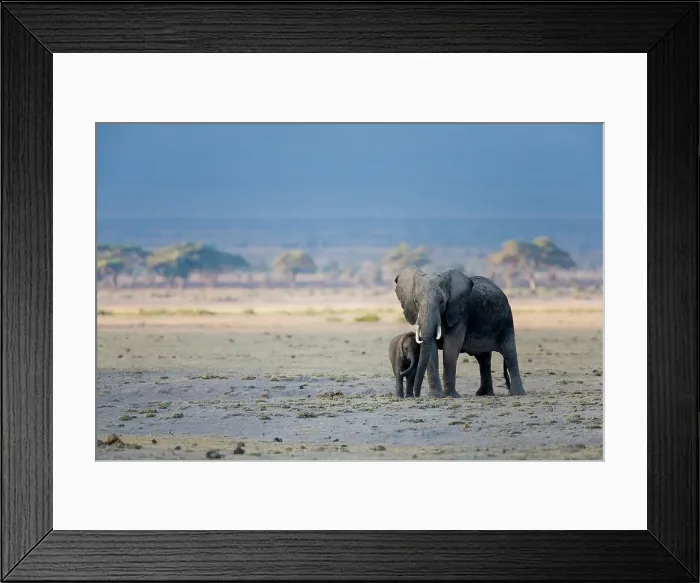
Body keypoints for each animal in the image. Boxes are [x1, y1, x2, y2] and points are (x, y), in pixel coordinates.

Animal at [394, 266, 525, 398]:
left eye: (442, 302)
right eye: (416, 301)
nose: (417, 395)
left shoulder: (460, 313)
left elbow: (451, 348)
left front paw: (451, 396)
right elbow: (431, 348)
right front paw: (435, 396)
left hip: (507, 320)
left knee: (509, 353)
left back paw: (517, 393)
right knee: (483, 359)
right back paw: (483, 394)